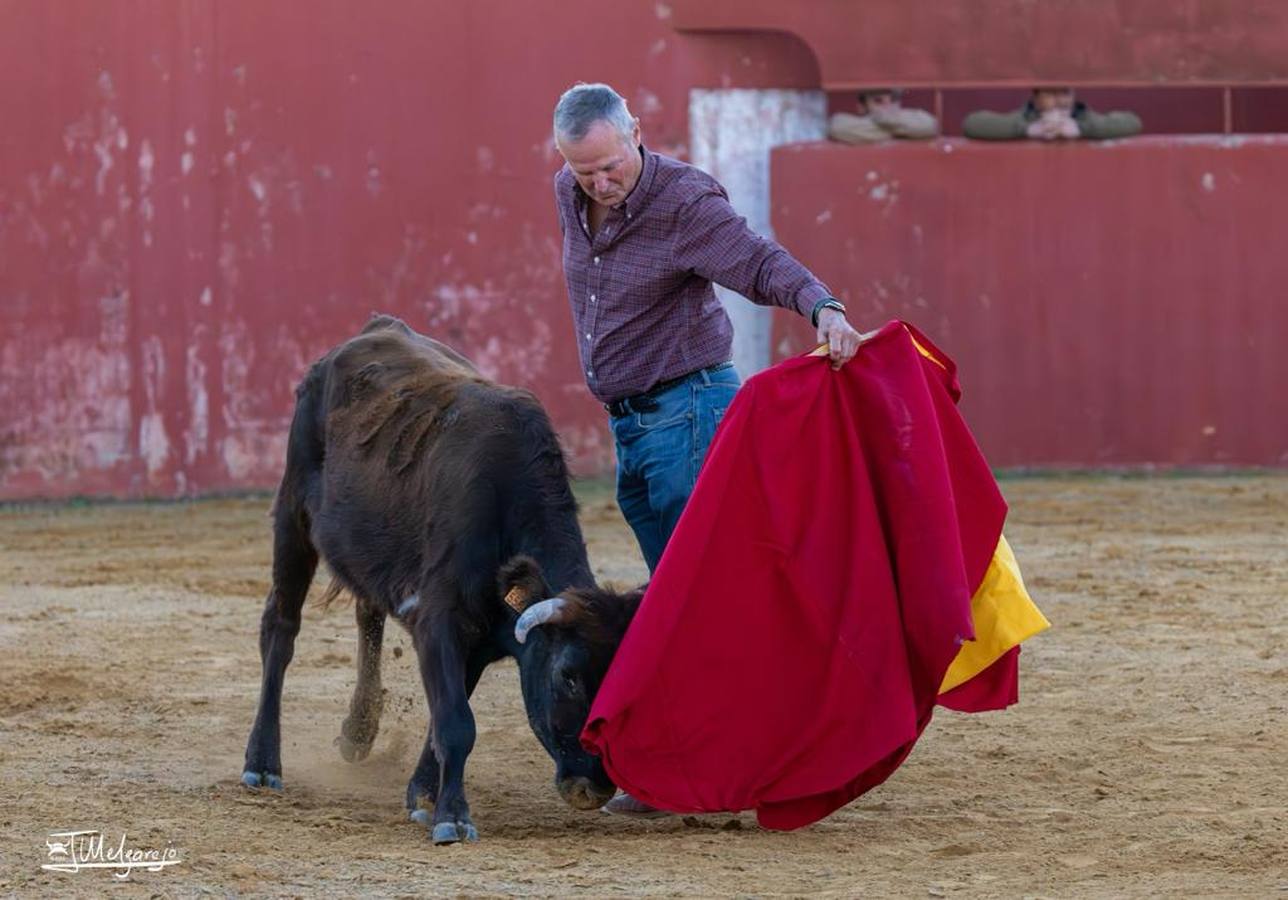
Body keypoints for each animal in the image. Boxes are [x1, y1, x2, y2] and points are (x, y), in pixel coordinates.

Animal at [239, 316, 641, 844]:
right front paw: (452, 815)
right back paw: (263, 763)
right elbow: (456, 722)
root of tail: (376, 328)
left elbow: (447, 715)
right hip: (293, 514)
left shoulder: (479, 638)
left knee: (367, 613)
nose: (592, 787)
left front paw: (424, 796)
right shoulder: (439, 620)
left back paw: (358, 730)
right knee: (280, 628)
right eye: (567, 676)